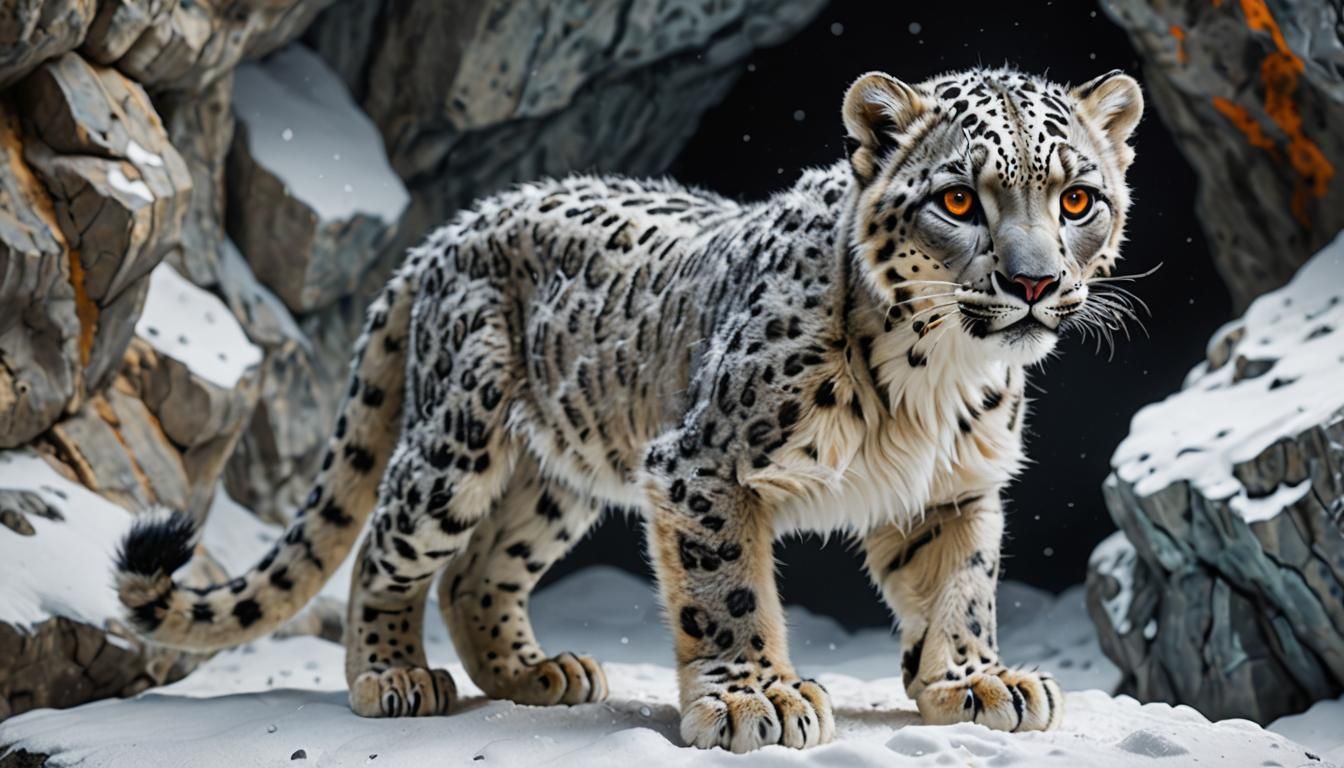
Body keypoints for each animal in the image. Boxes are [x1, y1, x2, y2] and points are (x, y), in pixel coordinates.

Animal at [115, 65, 1143, 753]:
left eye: (1077, 198)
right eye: (959, 199)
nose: (1034, 281)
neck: (940, 381)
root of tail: (452, 230)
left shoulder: (954, 488)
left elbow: (961, 585)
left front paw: (977, 682)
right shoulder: (702, 464)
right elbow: (728, 588)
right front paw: (757, 700)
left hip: (555, 479)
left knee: (479, 572)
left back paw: (537, 673)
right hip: (458, 441)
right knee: (386, 545)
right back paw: (394, 675)